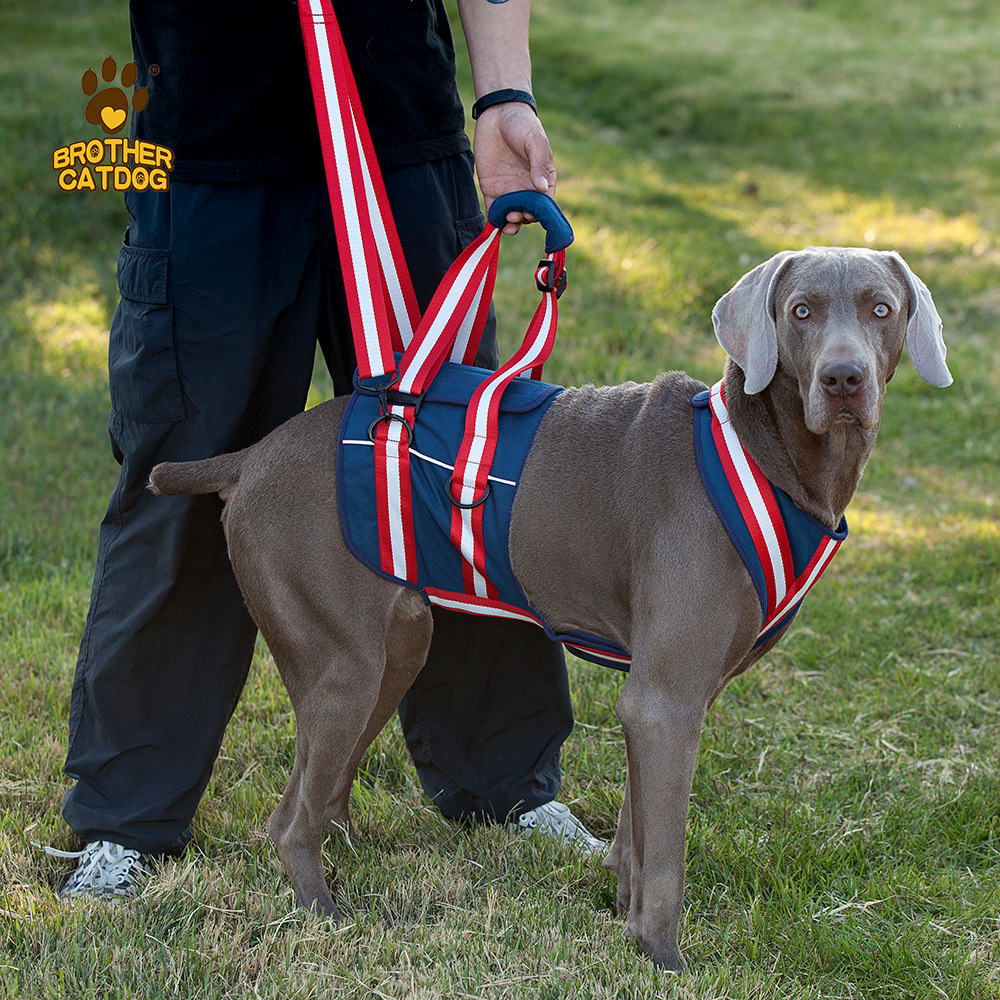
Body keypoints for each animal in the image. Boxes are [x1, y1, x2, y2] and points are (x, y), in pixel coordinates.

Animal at [148, 246, 952, 972]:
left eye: (881, 308)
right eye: (800, 312)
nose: (843, 378)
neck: (765, 455)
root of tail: (251, 457)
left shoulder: (664, 700)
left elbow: (636, 830)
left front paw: (623, 913)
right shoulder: (665, 699)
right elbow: (668, 855)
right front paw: (664, 959)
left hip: (394, 643)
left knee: (323, 790)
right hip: (343, 660)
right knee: (287, 821)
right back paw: (328, 914)